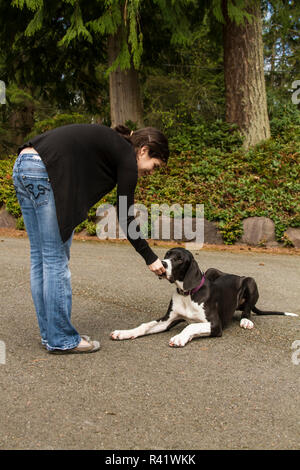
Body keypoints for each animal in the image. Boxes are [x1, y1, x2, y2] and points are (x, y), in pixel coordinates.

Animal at [110, 248, 298, 346]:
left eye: (179, 259)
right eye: (167, 254)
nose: (162, 264)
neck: (187, 293)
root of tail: (236, 275)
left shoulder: (215, 324)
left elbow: (191, 326)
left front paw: (180, 337)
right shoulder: (167, 320)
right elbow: (145, 325)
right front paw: (124, 333)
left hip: (250, 281)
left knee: (248, 310)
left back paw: (246, 320)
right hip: (211, 270)